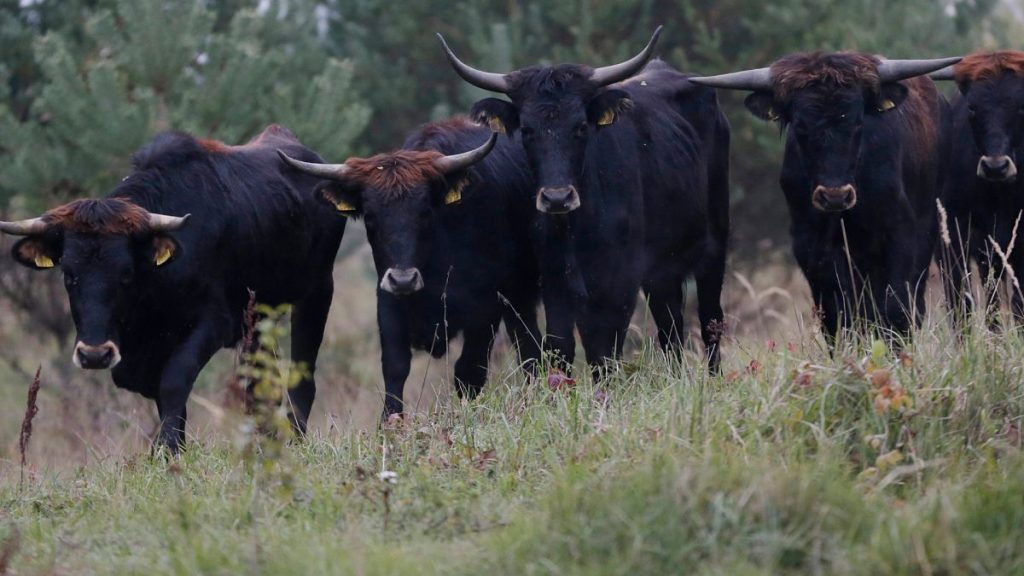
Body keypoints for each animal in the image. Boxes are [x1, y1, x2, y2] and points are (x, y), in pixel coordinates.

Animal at [0, 124, 346, 448]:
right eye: (69, 275)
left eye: (126, 274)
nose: (95, 355)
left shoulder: (213, 324)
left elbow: (174, 381)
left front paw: (166, 448)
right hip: (260, 317)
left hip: (317, 293)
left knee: (302, 372)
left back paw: (295, 434)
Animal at [276, 118, 540, 414]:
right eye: (370, 216)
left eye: (425, 212)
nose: (403, 280)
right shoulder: (389, 304)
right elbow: (395, 369)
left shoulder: (485, 308)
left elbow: (469, 371)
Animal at [436, 26, 733, 368]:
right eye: (527, 130)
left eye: (580, 127)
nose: (556, 198)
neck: (577, 227)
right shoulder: (556, 283)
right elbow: (562, 346)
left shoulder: (619, 283)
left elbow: (603, 349)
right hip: (662, 271)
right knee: (670, 327)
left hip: (714, 246)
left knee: (710, 321)